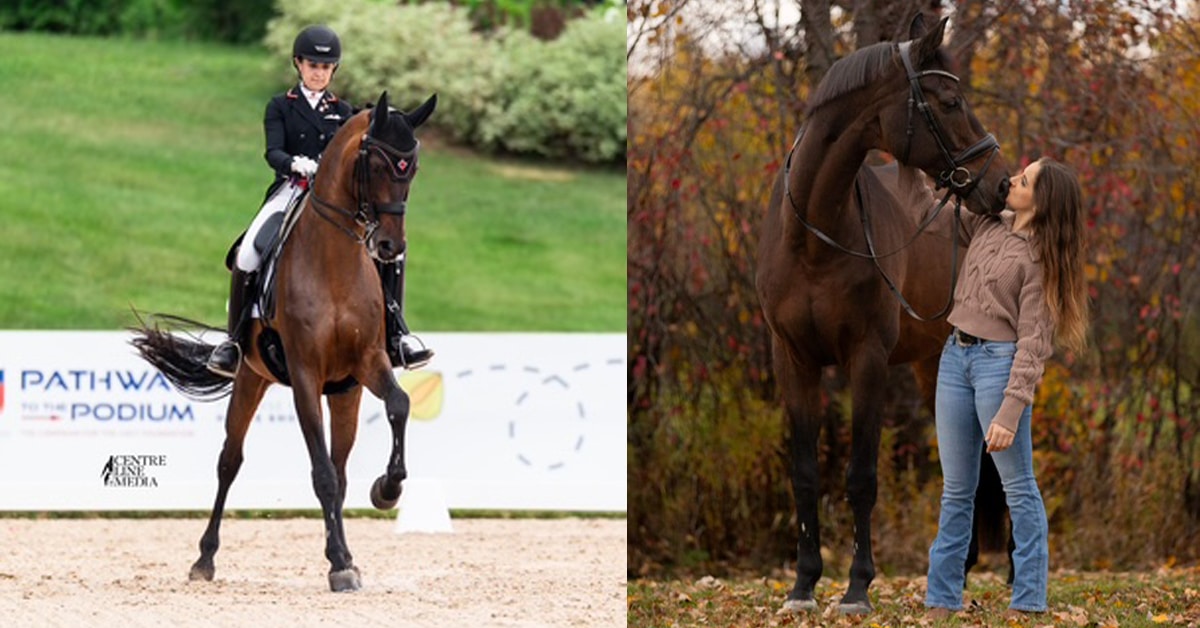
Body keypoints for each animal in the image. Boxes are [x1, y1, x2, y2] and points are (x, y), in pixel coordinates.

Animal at [131, 90, 437, 592]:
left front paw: (387, 491)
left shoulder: (368, 361)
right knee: (230, 462)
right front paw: (339, 564)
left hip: (346, 394)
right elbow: (321, 475)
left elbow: (398, 406)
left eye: (411, 167)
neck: (335, 264)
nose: (391, 248)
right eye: (376, 164)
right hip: (251, 377)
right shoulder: (306, 374)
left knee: (342, 469)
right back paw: (205, 560)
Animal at [754, 16, 1013, 613]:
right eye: (949, 101)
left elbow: (860, 476)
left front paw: (856, 588)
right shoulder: (793, 360)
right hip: (932, 367)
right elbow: (805, 474)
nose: (1001, 183)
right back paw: (959, 573)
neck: (814, 238)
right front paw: (803, 586)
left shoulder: (866, 359)